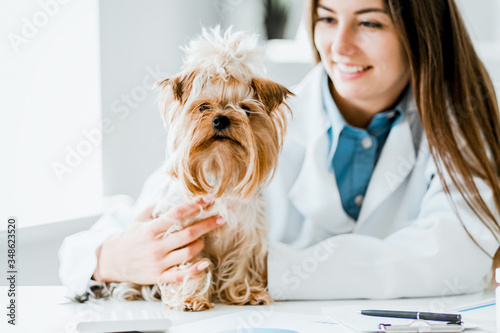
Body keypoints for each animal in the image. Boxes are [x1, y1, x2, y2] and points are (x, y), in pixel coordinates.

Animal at [107, 26, 292, 312]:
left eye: (246, 109)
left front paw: (245, 293)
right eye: (203, 106)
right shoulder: (184, 232)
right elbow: (195, 265)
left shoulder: (248, 232)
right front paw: (191, 297)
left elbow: (240, 264)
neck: (220, 168)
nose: (221, 119)